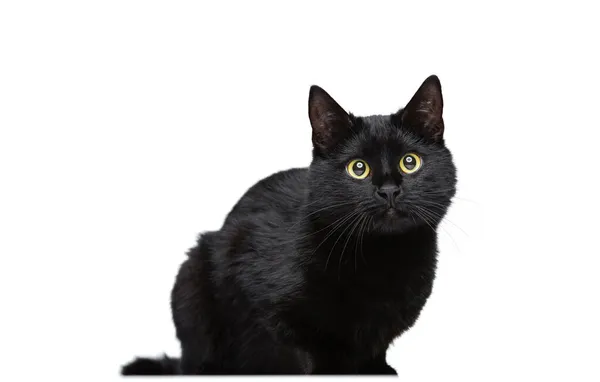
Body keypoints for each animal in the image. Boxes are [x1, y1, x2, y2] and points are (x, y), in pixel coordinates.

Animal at [123, 75, 460, 376]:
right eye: (358, 168)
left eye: (410, 162)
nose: (389, 190)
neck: (382, 257)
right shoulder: (266, 299)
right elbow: (302, 351)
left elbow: (374, 345)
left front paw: (377, 369)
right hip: (192, 273)